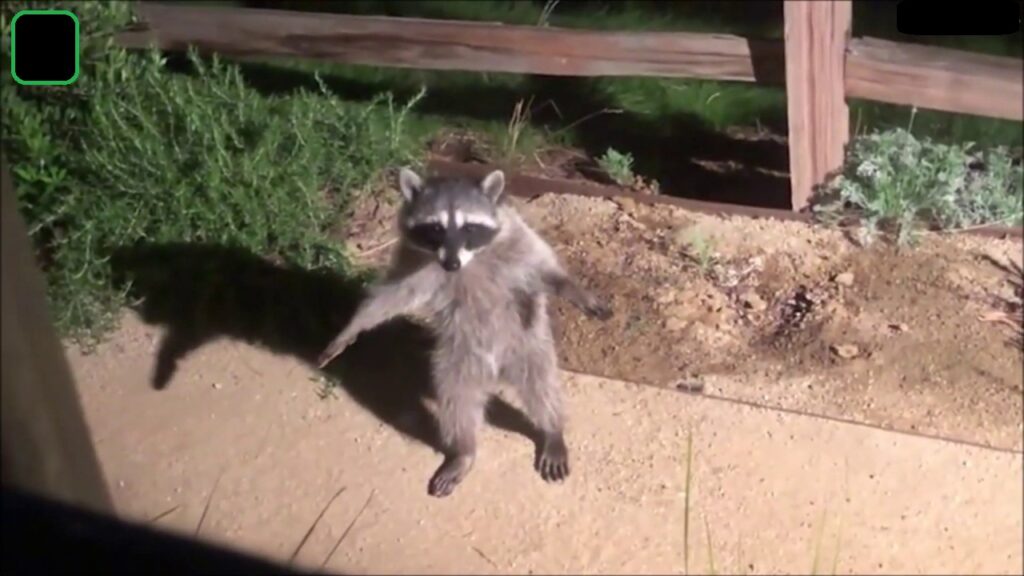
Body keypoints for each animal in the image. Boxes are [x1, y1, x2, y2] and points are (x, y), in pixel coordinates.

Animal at [315, 166, 610, 494]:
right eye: (435, 228)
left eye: (469, 227)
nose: (452, 263)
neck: (469, 259)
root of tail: (495, 370)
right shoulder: (413, 258)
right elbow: (392, 295)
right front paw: (352, 328)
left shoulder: (516, 236)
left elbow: (542, 268)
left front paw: (574, 289)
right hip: (458, 359)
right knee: (457, 401)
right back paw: (464, 450)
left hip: (527, 343)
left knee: (541, 385)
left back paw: (552, 428)